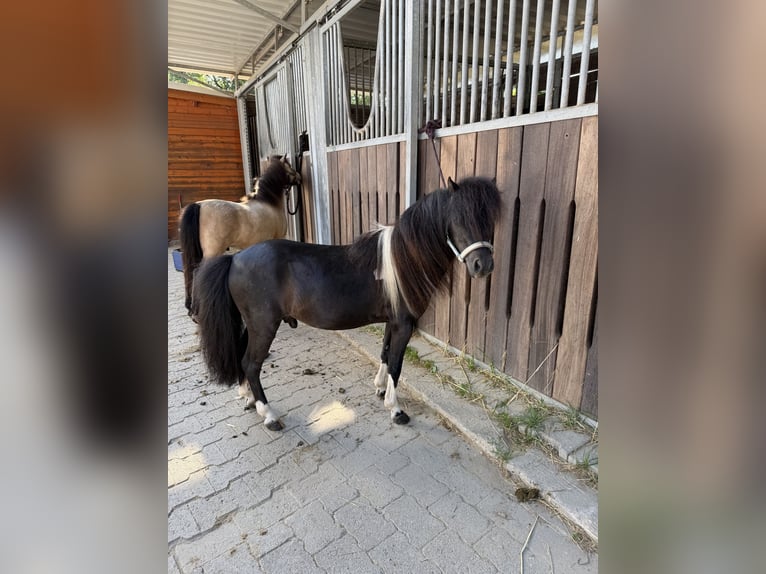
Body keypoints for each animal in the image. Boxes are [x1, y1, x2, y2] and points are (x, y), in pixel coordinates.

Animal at [192, 177, 501, 431]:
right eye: (458, 217)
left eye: (490, 220)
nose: (483, 266)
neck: (401, 261)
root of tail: (234, 259)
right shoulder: (404, 324)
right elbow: (397, 365)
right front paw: (396, 410)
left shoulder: (392, 322)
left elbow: (385, 355)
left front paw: (380, 389)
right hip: (264, 326)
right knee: (251, 363)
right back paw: (268, 415)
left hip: (250, 324)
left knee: (243, 359)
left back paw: (248, 399)